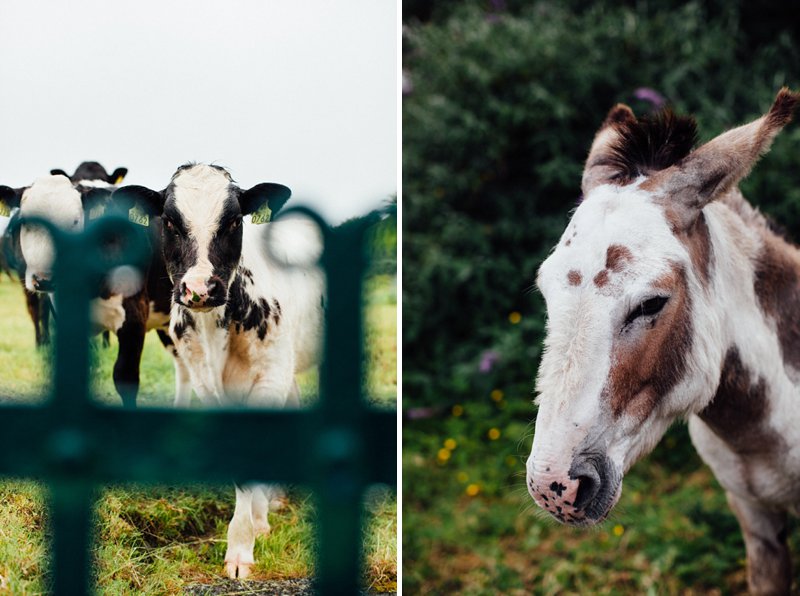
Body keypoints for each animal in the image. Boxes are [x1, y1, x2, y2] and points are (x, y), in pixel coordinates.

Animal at [113, 163, 324, 576]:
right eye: (169, 221)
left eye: (233, 221)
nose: (199, 289)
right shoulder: (207, 385)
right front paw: (254, 526)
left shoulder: (267, 380)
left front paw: (245, 543)